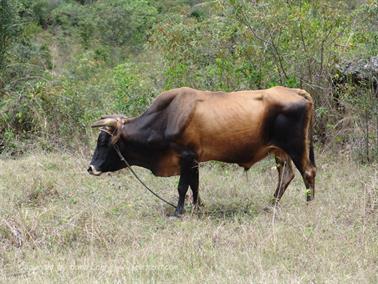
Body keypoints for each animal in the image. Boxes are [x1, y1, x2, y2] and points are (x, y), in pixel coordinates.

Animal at [88, 86, 316, 215]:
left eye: (104, 142)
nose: (90, 168)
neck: (167, 117)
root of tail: (296, 91)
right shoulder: (194, 160)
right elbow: (194, 186)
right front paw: (198, 208)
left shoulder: (186, 156)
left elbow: (182, 187)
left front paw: (178, 211)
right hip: (280, 151)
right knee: (286, 175)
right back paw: (272, 205)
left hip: (295, 147)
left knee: (308, 172)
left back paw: (309, 205)